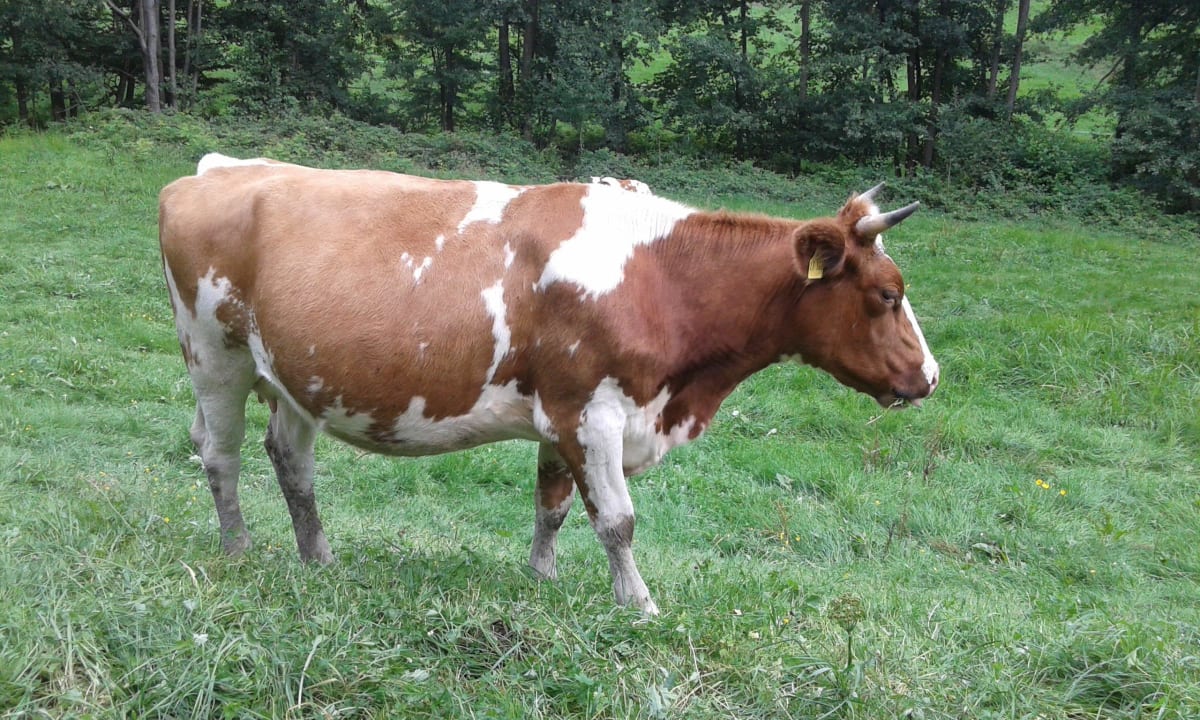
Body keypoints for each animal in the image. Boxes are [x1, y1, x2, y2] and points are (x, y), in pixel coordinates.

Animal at [159, 154, 938, 614]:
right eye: (887, 294)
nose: (930, 377)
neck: (660, 276)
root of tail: (218, 168)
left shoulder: (561, 412)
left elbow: (553, 506)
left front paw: (544, 579)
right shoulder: (590, 412)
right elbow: (617, 519)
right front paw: (638, 606)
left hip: (298, 376)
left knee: (291, 459)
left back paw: (318, 558)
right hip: (215, 357)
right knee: (220, 453)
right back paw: (238, 548)